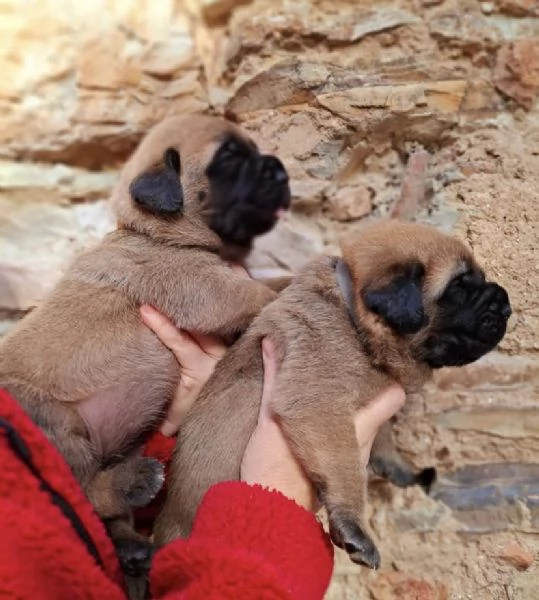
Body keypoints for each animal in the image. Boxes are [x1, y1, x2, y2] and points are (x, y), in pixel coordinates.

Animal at [0, 113, 292, 576]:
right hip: (55, 422)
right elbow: (263, 290)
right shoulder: (206, 289)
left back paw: (130, 544)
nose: (281, 171)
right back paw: (134, 483)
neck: (154, 232)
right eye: (227, 159)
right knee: (83, 486)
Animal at [154, 221, 512, 572]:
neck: (354, 320)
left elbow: (383, 437)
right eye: (459, 286)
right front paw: (354, 525)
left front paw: (398, 466)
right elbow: (348, 469)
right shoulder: (320, 406)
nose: (506, 305)